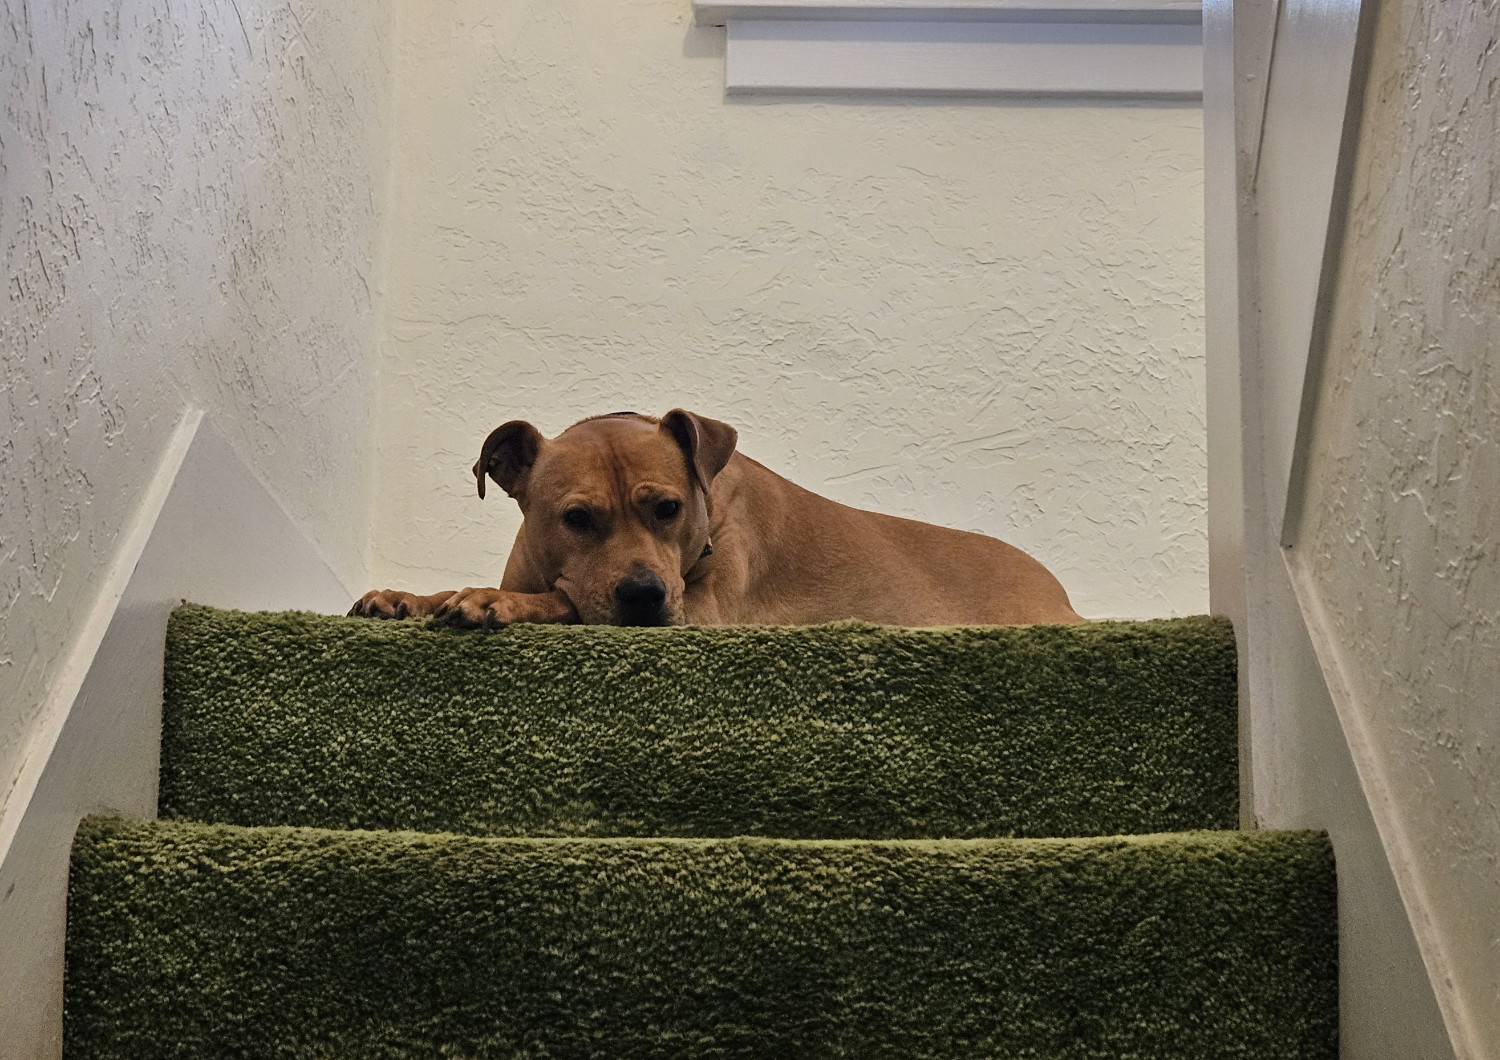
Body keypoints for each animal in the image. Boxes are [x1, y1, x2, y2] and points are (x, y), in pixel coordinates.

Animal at [351, 413, 1080, 629]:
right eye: (576, 518)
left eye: (668, 508)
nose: (644, 596)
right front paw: (406, 596)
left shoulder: (699, 614)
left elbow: (567, 601)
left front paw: (492, 600)